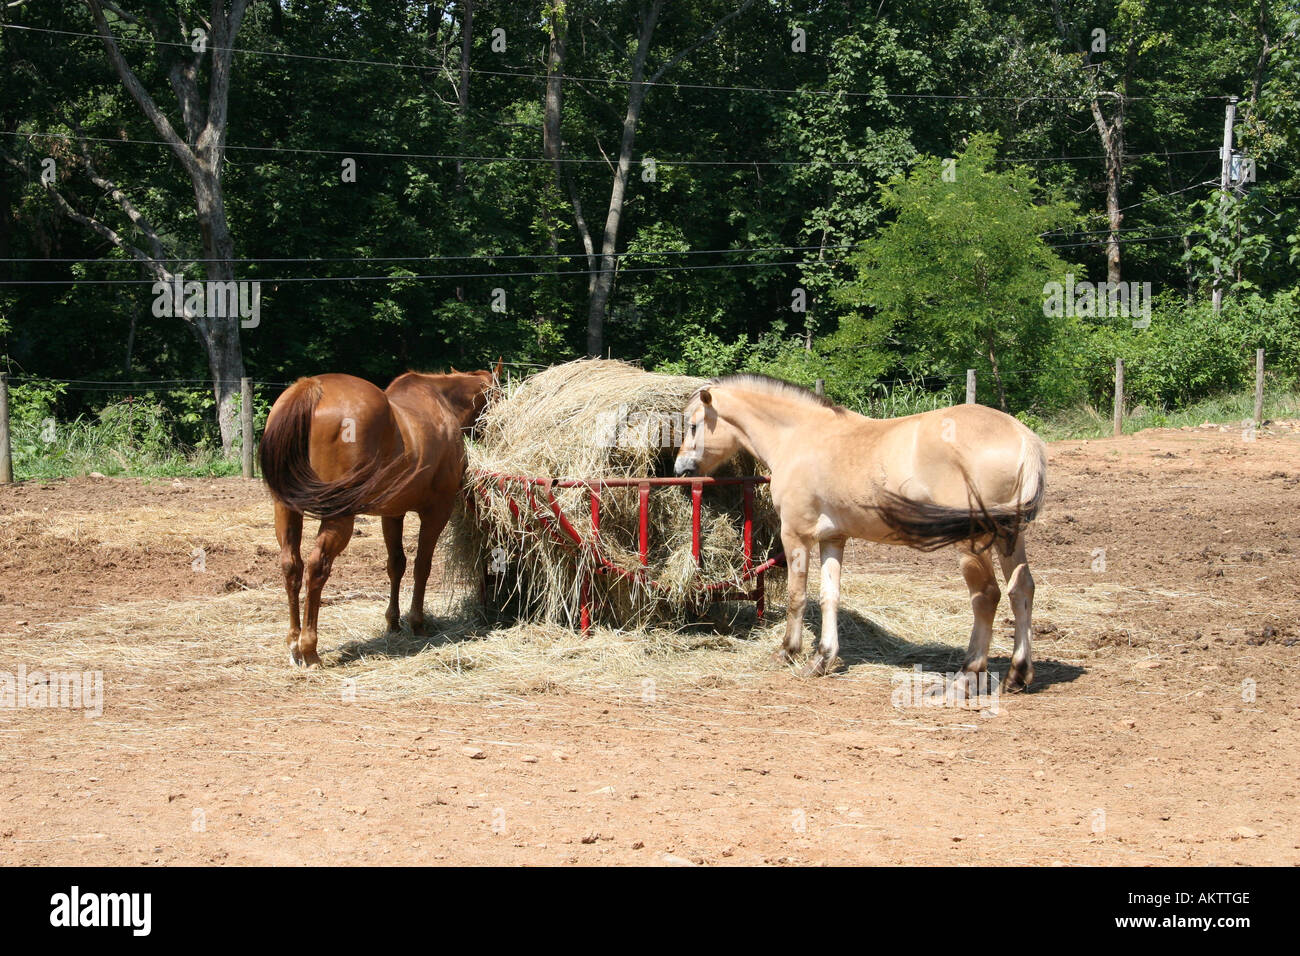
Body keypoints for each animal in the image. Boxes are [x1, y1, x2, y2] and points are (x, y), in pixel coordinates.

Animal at [259, 362, 500, 667]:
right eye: (499, 395)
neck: (441, 403)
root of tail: (311, 388)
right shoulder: (436, 512)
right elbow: (422, 566)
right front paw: (417, 623)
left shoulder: (393, 514)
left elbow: (396, 564)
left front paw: (393, 622)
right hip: (339, 516)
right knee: (316, 567)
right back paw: (309, 648)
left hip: (286, 510)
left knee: (291, 565)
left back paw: (293, 643)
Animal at [673, 374, 1046, 691]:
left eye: (693, 426)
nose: (679, 469)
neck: (799, 436)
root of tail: (1021, 436)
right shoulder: (832, 538)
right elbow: (830, 596)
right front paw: (822, 659)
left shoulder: (796, 535)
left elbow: (797, 596)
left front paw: (788, 651)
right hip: (1010, 537)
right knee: (1021, 590)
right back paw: (1018, 674)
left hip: (975, 543)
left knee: (986, 596)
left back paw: (968, 674)